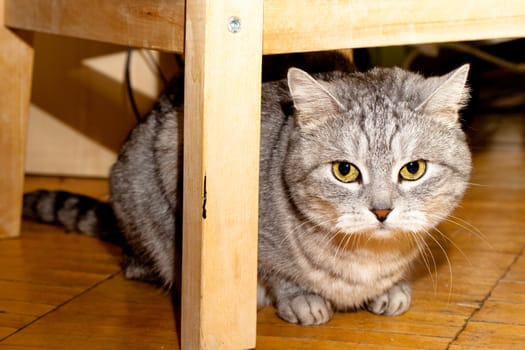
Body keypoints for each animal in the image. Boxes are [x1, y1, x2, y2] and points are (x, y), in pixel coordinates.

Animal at [23, 63, 470, 326]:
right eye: (345, 171)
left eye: (412, 169)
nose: (381, 211)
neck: (367, 258)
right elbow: (279, 271)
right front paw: (300, 298)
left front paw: (392, 288)